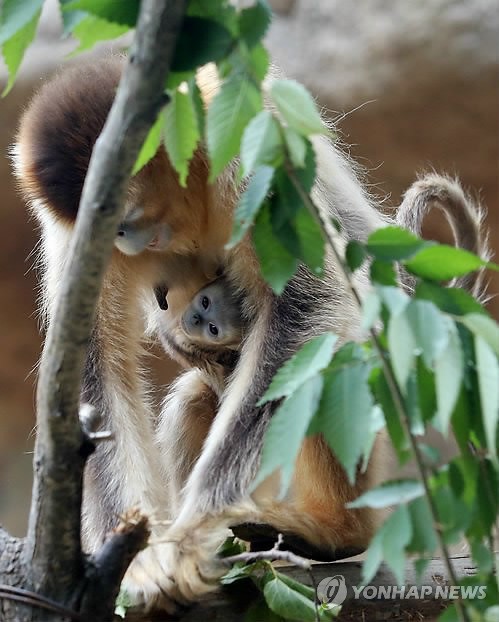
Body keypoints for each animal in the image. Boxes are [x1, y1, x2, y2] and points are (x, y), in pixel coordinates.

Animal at [12, 56, 488, 612]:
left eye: (123, 215)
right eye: (109, 224)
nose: (123, 237)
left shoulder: (246, 147)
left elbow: (307, 309)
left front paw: (190, 537)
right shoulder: (76, 233)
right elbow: (95, 369)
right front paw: (140, 564)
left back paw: (334, 533)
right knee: (197, 394)